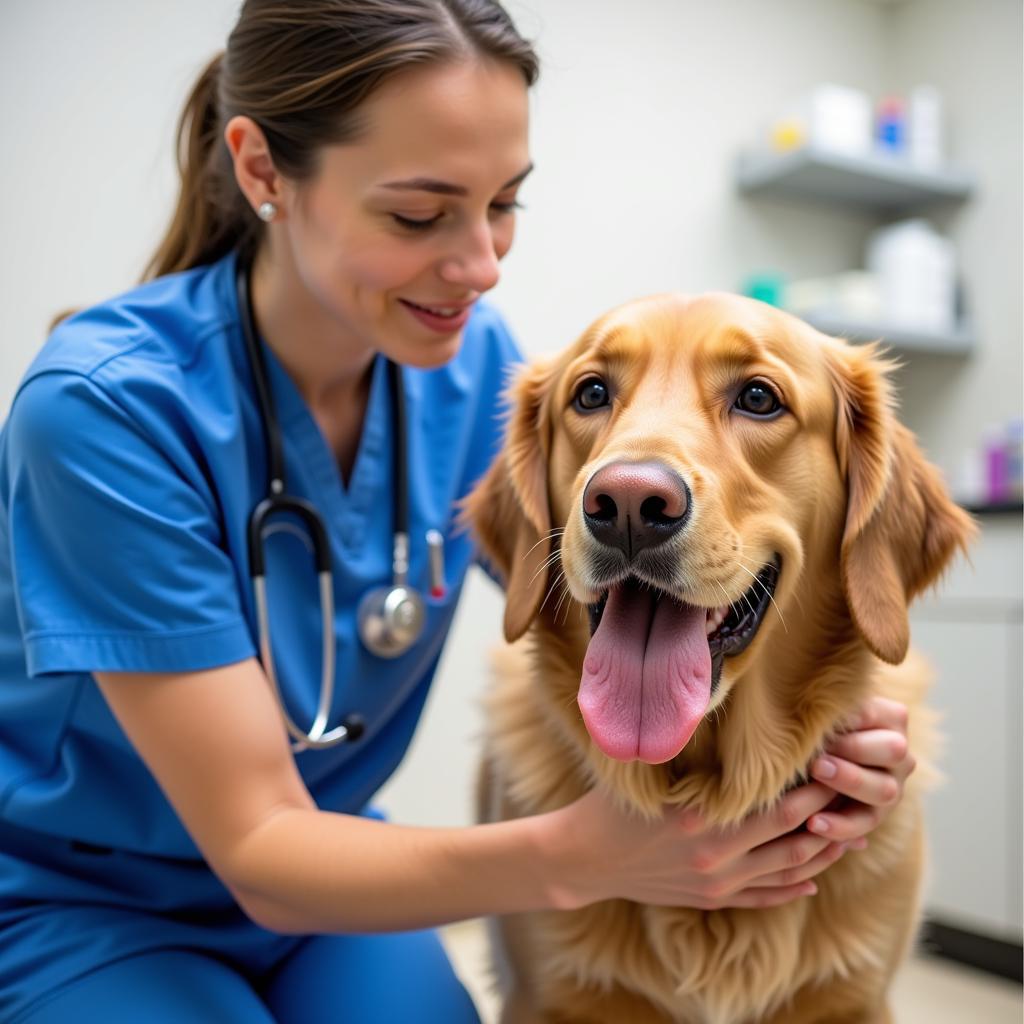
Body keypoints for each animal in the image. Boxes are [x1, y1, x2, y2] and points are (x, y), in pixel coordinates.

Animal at [464, 292, 974, 1024]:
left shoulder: (858, 998)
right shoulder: (545, 996)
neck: (708, 778)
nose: (627, 503)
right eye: (591, 393)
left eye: (758, 398)